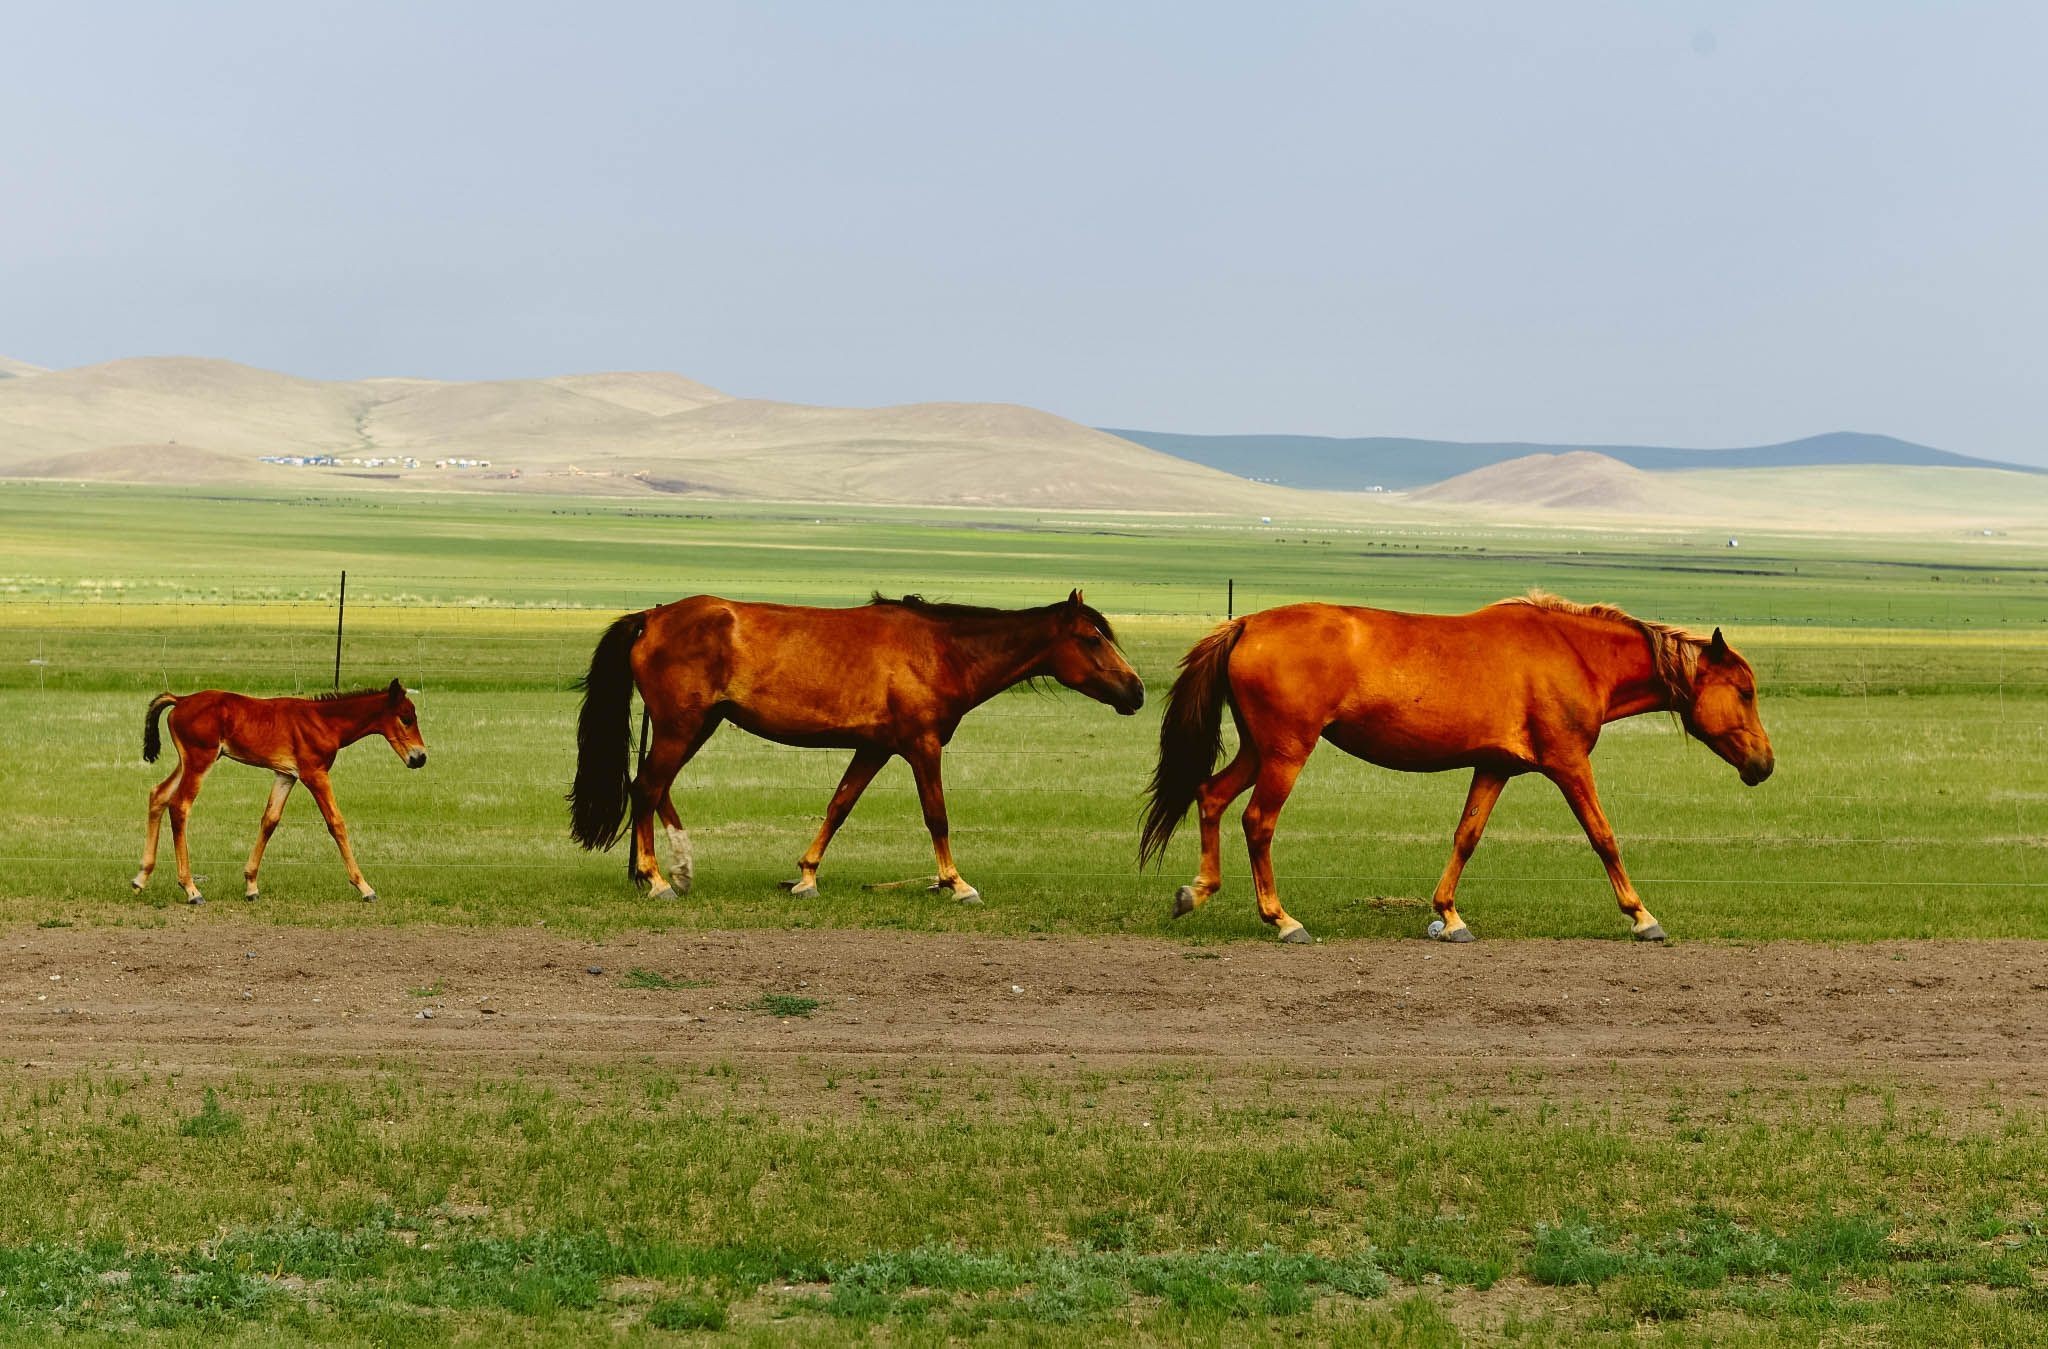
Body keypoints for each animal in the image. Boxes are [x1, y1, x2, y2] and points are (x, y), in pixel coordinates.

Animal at [132, 675, 428, 908]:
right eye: (406, 718)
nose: (420, 757)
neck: (323, 721)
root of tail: (180, 700)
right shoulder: (314, 774)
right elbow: (336, 823)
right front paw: (365, 887)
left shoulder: (286, 775)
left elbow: (270, 820)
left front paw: (251, 886)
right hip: (199, 760)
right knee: (179, 805)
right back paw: (191, 889)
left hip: (188, 761)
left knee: (158, 795)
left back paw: (141, 878)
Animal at [569, 593, 1146, 900]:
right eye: (1092, 639)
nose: (1137, 691)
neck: (940, 651)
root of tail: (652, 616)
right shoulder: (922, 746)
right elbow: (937, 816)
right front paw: (956, 883)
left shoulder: (874, 749)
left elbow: (839, 806)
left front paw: (805, 877)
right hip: (681, 726)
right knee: (646, 788)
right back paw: (656, 880)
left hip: (696, 724)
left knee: (655, 788)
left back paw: (679, 870)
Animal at [1138, 597, 1777, 945]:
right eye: (1745, 692)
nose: (1764, 765)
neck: (1575, 655)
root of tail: (1246, 624)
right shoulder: (1569, 764)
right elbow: (1604, 837)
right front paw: (1642, 916)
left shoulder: (1493, 767)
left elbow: (1466, 837)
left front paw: (1448, 915)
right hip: (1285, 753)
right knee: (1258, 822)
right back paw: (1282, 919)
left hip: (1258, 750)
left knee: (1210, 796)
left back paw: (1196, 892)